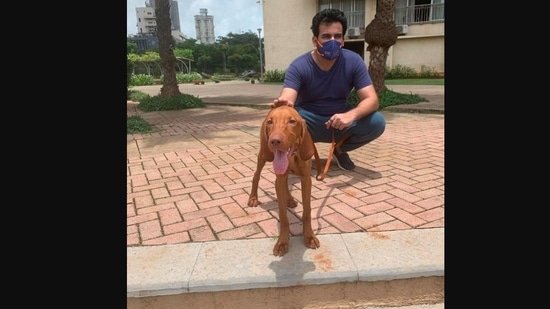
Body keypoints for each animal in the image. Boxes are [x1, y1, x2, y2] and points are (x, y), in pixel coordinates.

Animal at [248, 106, 322, 255]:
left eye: (292, 121)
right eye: (270, 122)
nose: (275, 141)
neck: (293, 155)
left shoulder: (306, 180)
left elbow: (307, 211)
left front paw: (309, 237)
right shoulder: (279, 180)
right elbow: (283, 215)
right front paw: (282, 242)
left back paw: (290, 200)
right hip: (263, 155)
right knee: (256, 175)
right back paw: (253, 198)